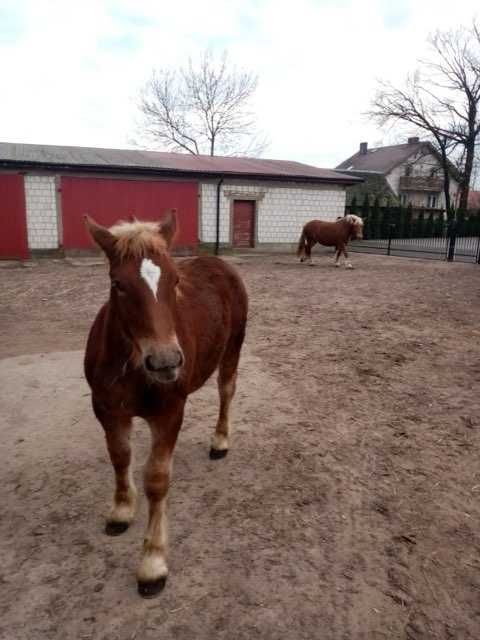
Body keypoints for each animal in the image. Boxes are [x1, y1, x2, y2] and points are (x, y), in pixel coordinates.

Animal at [84, 209, 248, 596]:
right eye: (118, 284)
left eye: (174, 281)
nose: (165, 362)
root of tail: (219, 262)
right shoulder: (107, 410)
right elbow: (120, 457)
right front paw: (121, 510)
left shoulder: (169, 413)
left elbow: (157, 480)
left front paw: (152, 564)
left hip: (233, 347)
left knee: (226, 390)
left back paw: (220, 441)